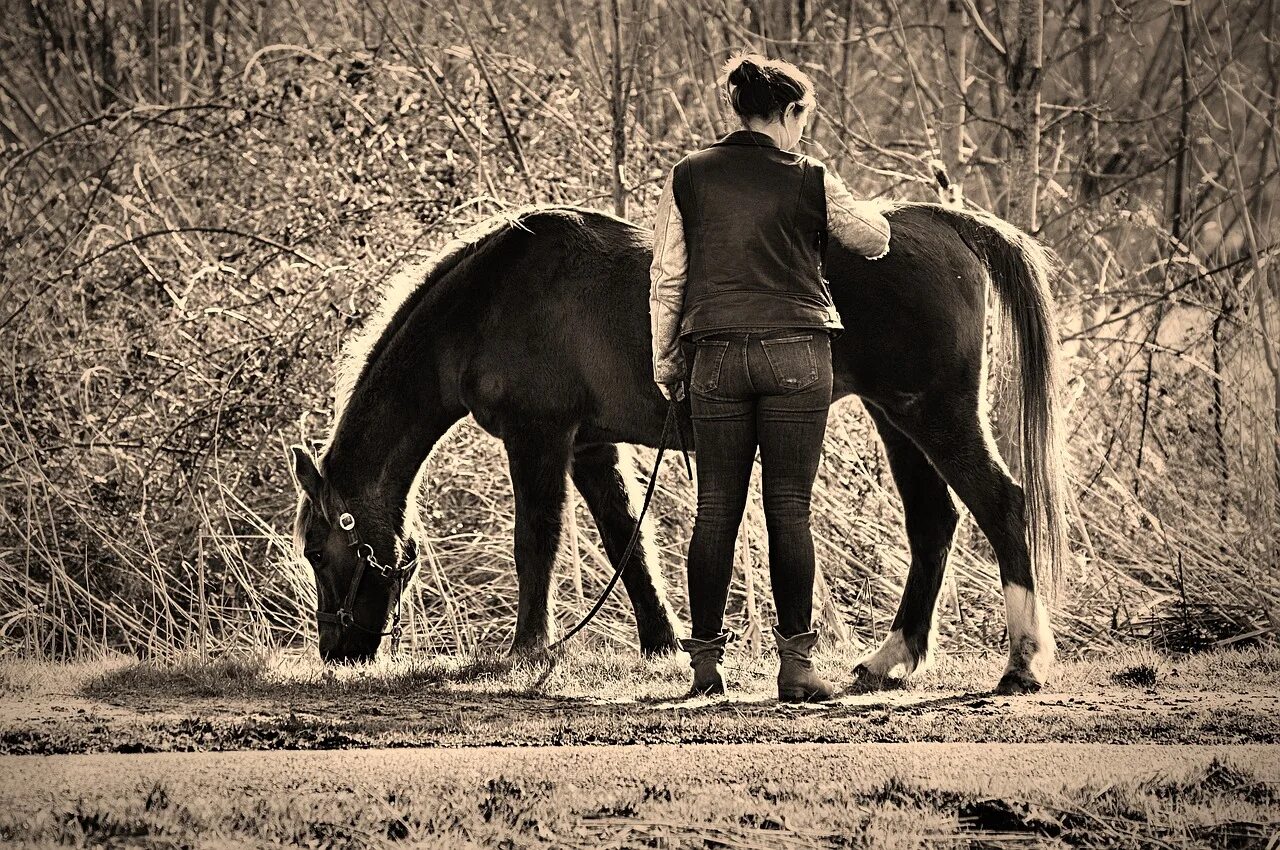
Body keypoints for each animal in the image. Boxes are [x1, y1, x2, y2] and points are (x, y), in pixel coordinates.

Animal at [290, 202, 1070, 696]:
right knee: (934, 522)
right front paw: (664, 644)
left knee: (1003, 507)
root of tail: (942, 224)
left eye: (318, 550)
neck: (491, 298)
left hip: (933, 414)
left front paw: (528, 649)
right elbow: (626, 543)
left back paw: (1023, 664)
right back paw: (890, 660)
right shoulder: (590, 449)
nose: (336, 652)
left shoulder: (538, 438)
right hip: (898, 418)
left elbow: (537, 541)